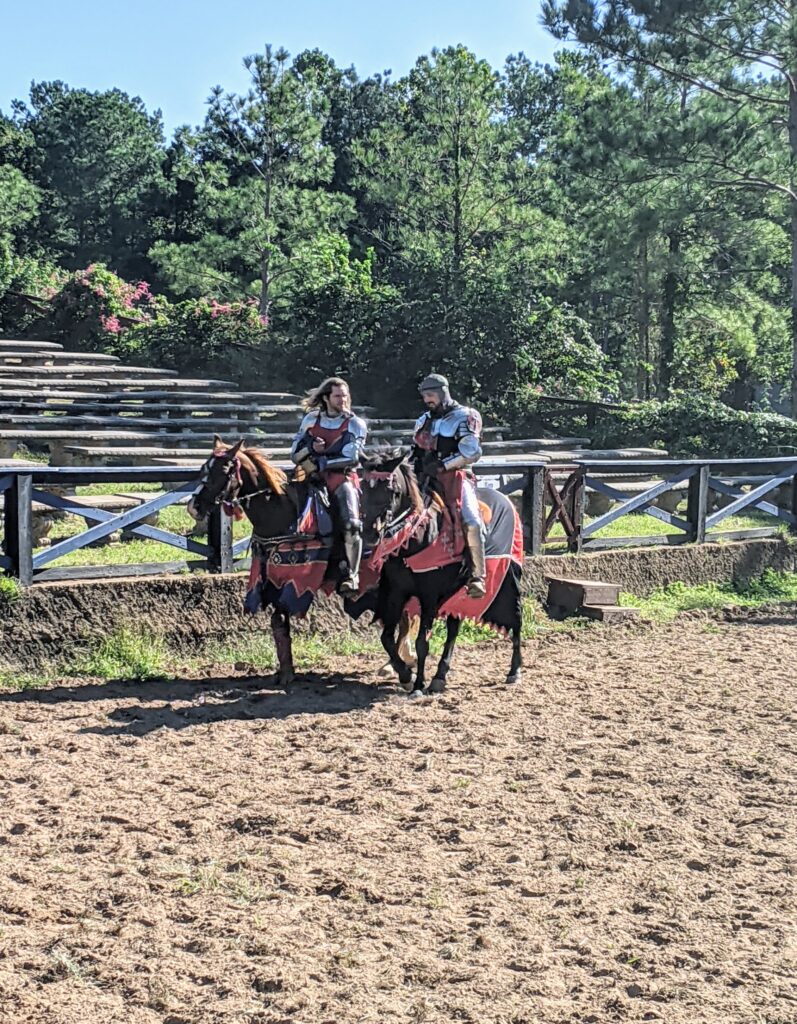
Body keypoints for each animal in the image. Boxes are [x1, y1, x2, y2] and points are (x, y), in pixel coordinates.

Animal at [358, 450, 522, 696]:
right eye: (363, 487)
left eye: (392, 490)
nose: (369, 533)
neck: (416, 538)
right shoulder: (396, 593)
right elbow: (386, 637)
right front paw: (405, 675)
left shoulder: (429, 597)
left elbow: (421, 643)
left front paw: (417, 685)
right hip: (457, 593)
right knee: (454, 629)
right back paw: (439, 677)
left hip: (509, 580)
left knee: (517, 619)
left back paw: (515, 670)